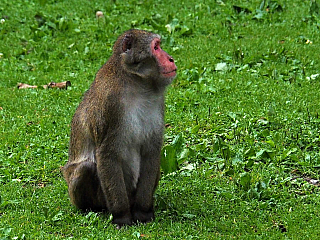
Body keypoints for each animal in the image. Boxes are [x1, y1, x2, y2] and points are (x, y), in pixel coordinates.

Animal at [62, 29, 178, 226]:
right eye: (156, 47)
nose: (170, 58)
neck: (137, 84)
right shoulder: (110, 104)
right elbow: (107, 154)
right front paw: (122, 217)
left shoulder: (158, 102)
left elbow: (151, 151)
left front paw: (143, 213)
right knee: (86, 168)